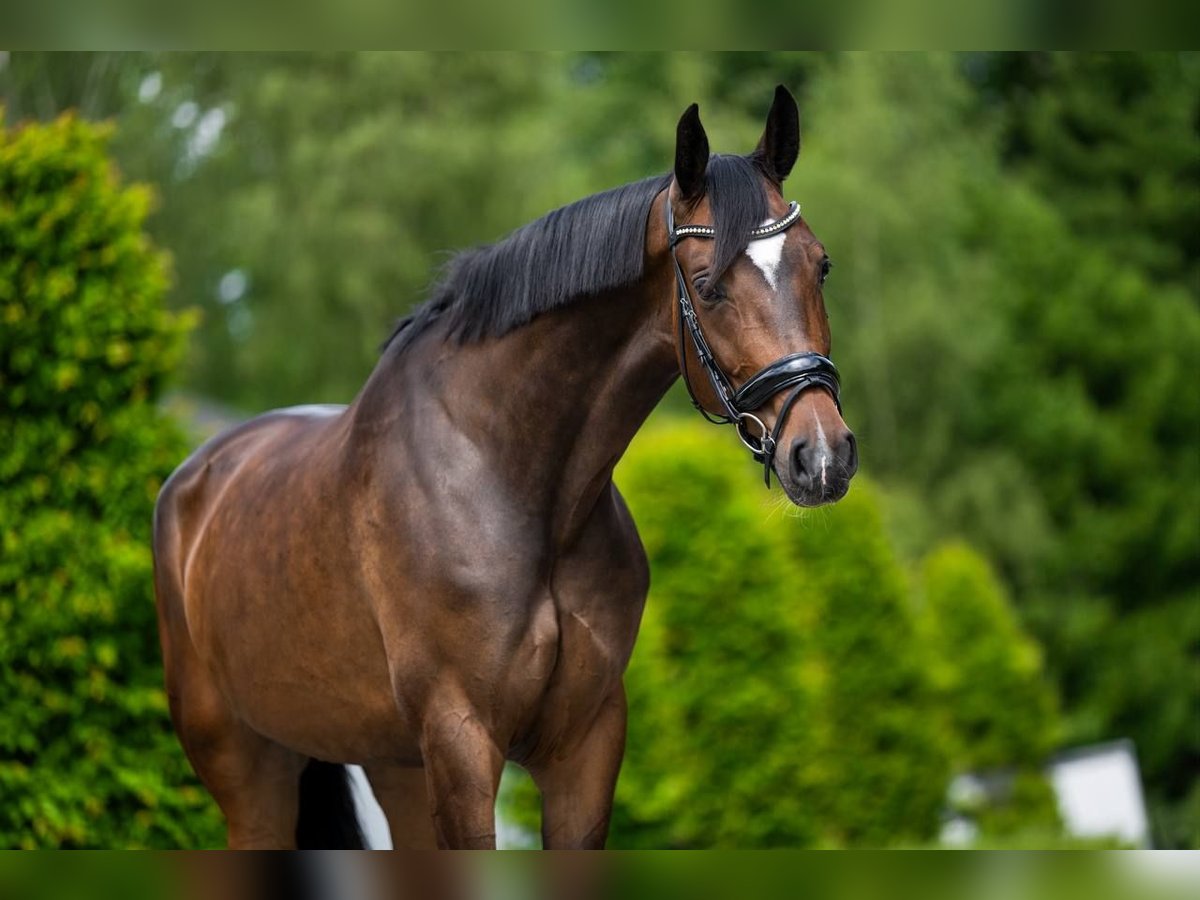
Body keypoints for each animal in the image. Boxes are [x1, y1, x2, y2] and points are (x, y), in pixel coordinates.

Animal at [154, 86, 859, 854]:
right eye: (708, 286)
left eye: (820, 264)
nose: (822, 455)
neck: (513, 477)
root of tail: (196, 479)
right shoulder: (461, 738)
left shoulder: (586, 743)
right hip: (248, 766)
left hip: (389, 761)